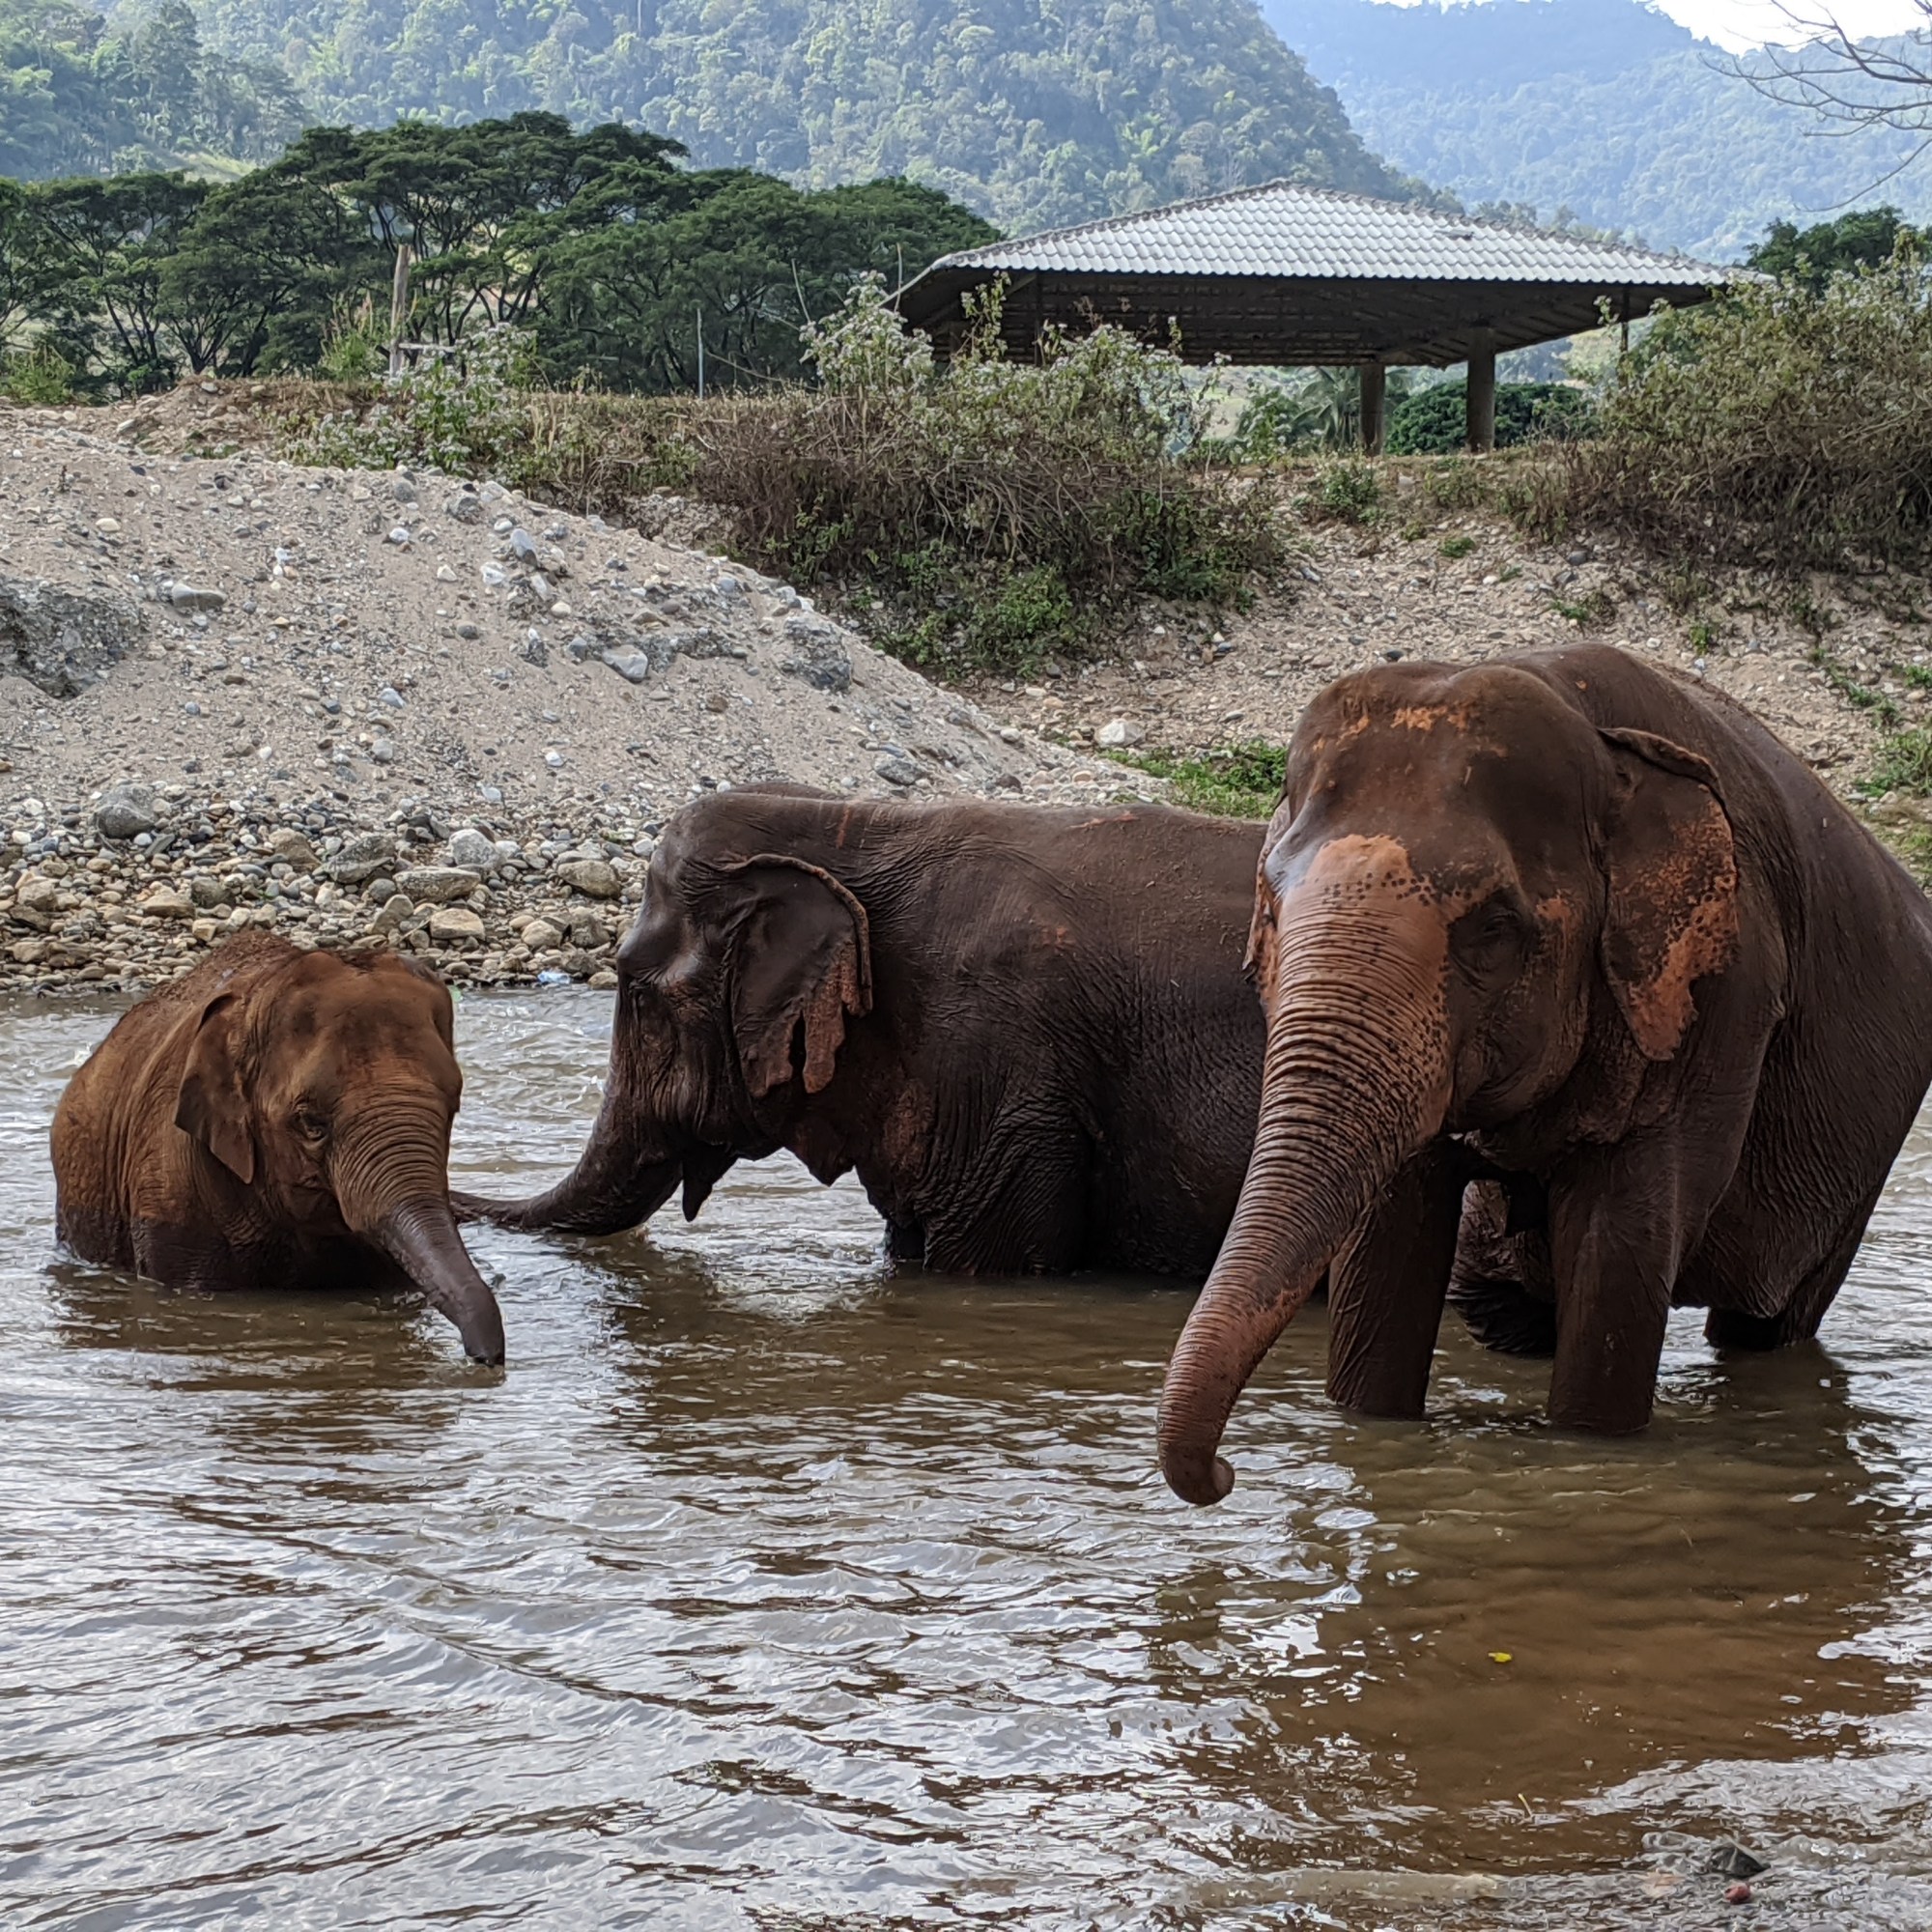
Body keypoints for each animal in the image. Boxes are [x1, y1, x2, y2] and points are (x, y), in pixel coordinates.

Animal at [1159, 641, 1932, 1504]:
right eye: (1269, 906)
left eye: (1495, 928)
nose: (1224, 1474)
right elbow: (1387, 1243)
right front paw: (1369, 1434)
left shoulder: (1721, 997)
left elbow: (1618, 1249)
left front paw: (1585, 1455)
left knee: (1768, 1325)